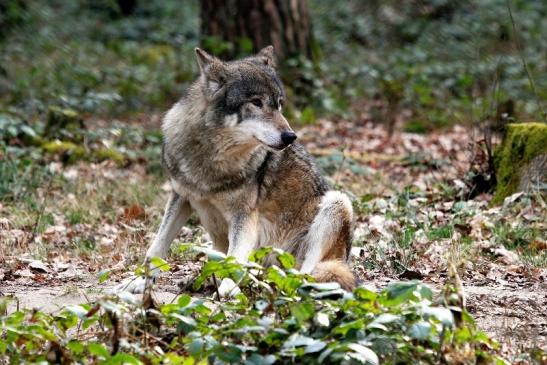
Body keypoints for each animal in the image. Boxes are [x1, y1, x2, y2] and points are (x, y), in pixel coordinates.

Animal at [121, 45, 356, 296]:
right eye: (256, 102)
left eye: (279, 104)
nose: (290, 136)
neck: (210, 158)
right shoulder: (181, 197)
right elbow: (156, 247)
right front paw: (139, 281)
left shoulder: (244, 215)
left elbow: (234, 259)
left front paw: (228, 290)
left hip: (337, 202)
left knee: (308, 273)